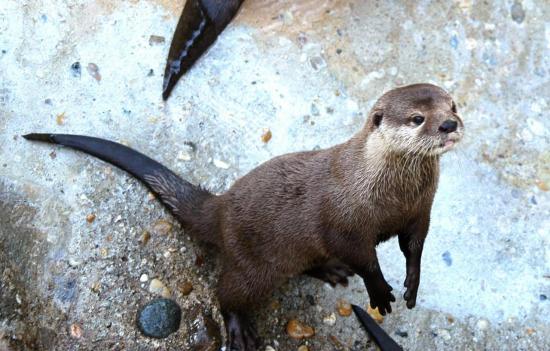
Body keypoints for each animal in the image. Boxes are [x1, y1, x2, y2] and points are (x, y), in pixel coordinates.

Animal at [24, 84, 466, 350]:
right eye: (417, 119)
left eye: (453, 105)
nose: (449, 123)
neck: (389, 195)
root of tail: (218, 208)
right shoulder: (345, 219)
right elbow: (362, 257)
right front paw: (378, 290)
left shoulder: (419, 212)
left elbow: (415, 247)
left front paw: (411, 284)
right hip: (250, 262)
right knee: (227, 292)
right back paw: (239, 329)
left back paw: (330, 271)